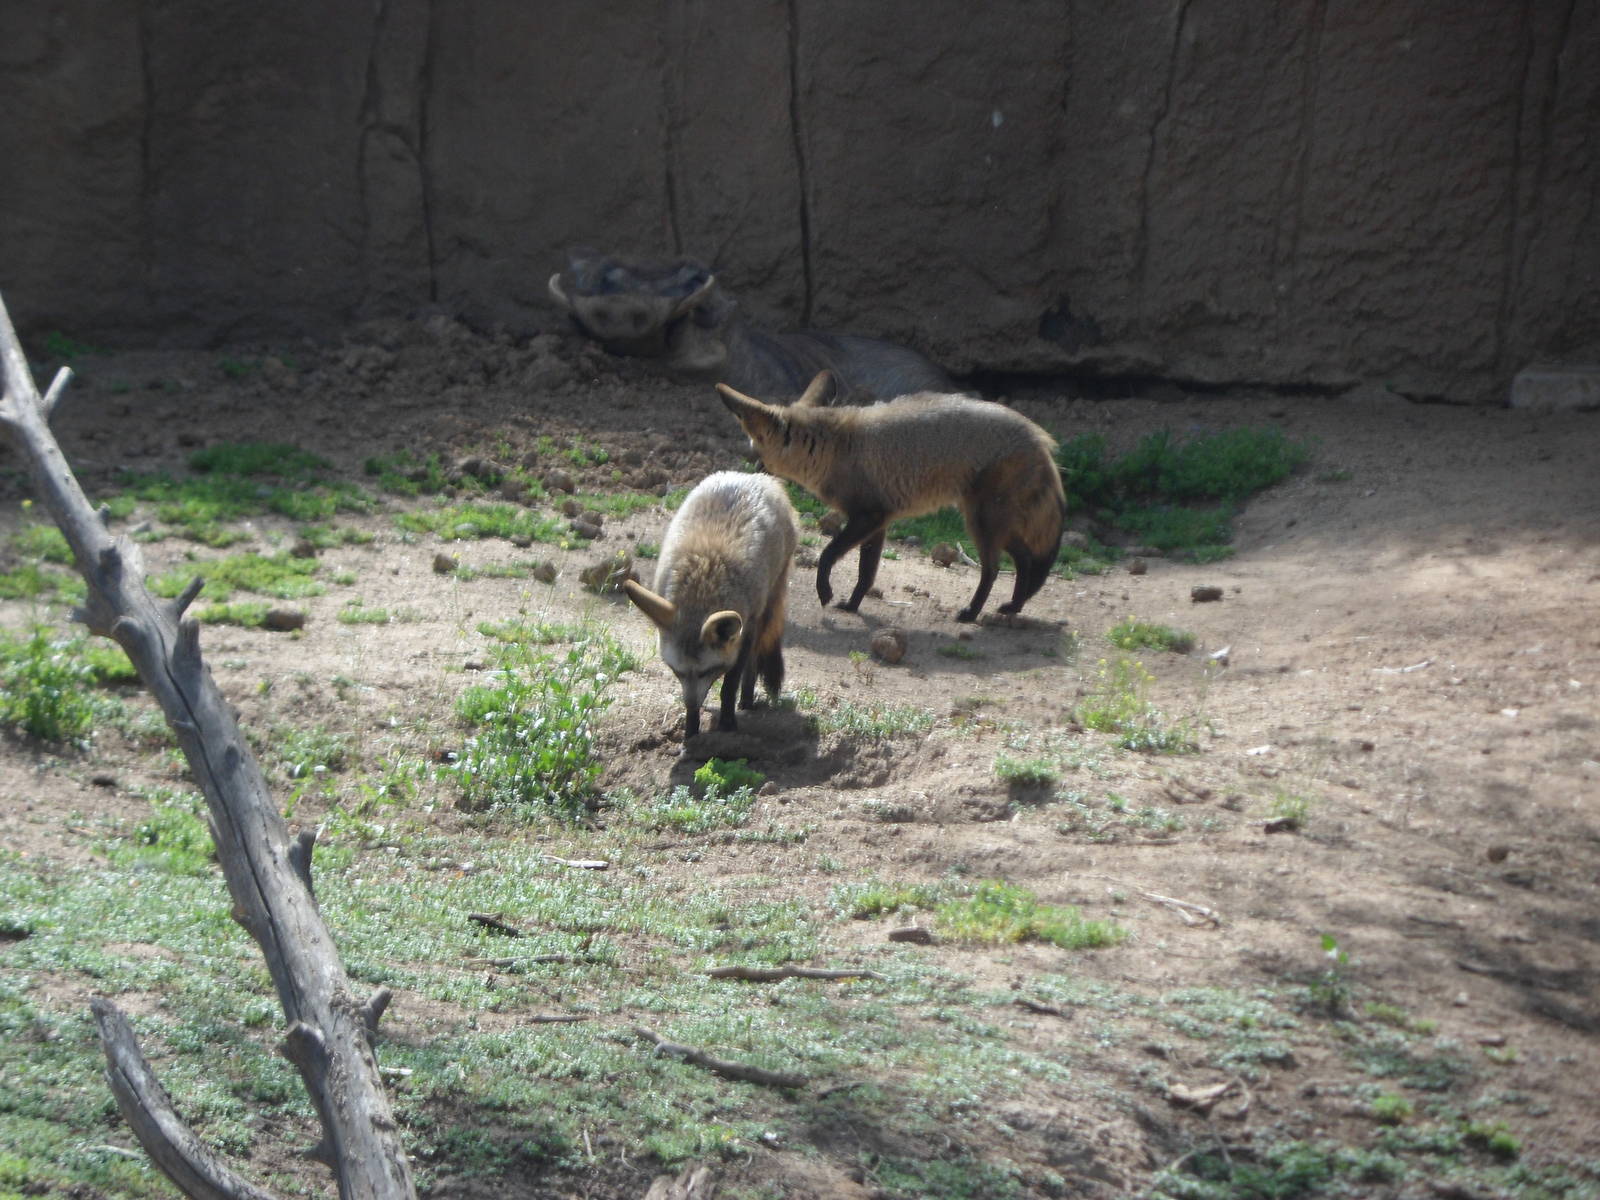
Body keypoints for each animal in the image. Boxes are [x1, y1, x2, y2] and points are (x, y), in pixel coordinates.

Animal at [622, 471, 799, 738]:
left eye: (706, 671)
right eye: (677, 671)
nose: (691, 704)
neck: (702, 581)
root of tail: (755, 475)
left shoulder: (746, 628)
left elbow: (730, 684)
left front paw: (727, 722)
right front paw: (691, 731)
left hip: (766, 606)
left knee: (753, 662)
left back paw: (747, 700)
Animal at [716, 371, 1065, 623]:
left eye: (756, 450)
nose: (752, 470)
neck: (833, 448)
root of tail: (1040, 438)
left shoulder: (867, 516)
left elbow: (827, 555)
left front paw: (825, 591)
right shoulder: (879, 522)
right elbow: (866, 574)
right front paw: (852, 605)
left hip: (981, 522)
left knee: (993, 569)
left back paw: (971, 614)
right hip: (992, 523)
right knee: (1026, 559)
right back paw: (1013, 607)